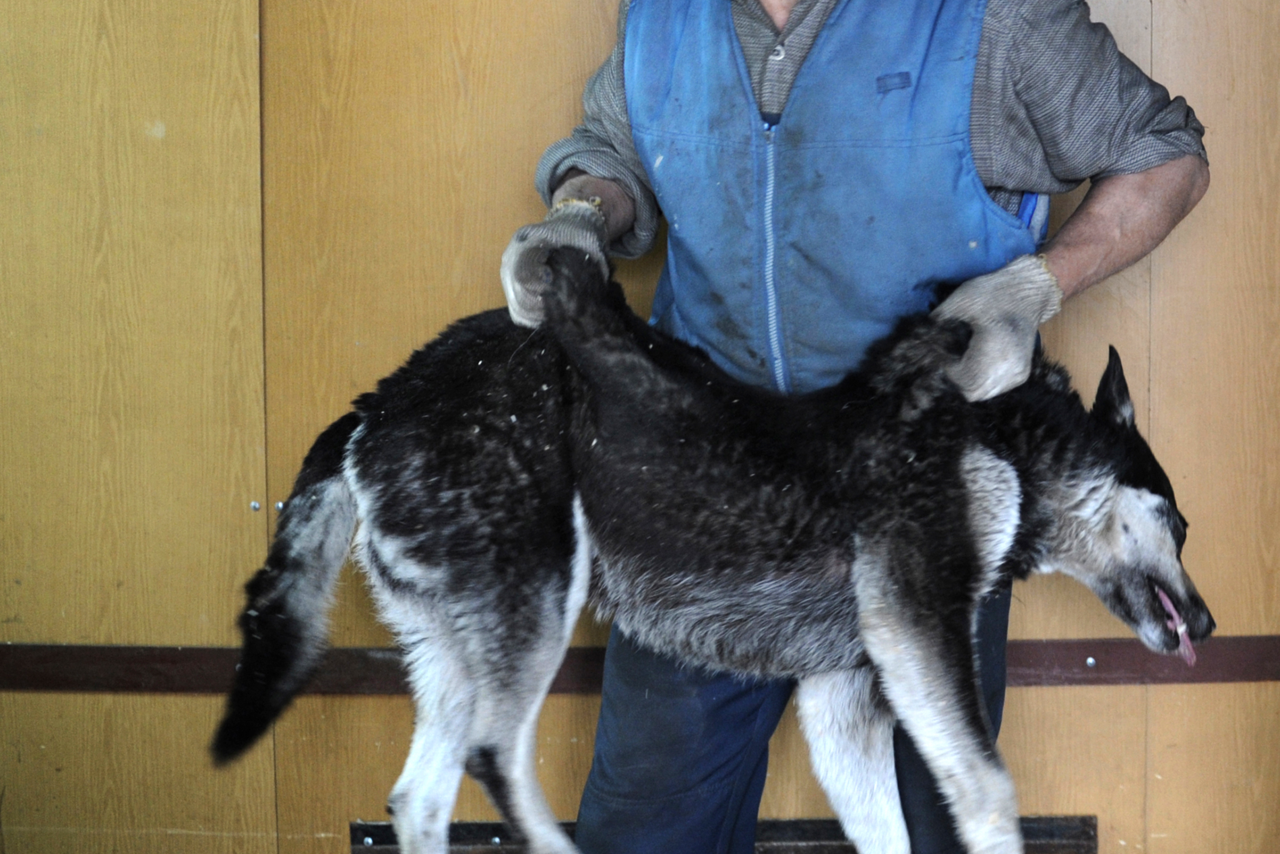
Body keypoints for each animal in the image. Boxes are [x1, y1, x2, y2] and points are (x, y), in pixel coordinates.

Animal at [209, 250, 1208, 854]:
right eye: (1181, 521)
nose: (1206, 622)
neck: (1002, 439)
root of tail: (381, 401)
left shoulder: (847, 698)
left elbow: (894, 830)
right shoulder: (918, 630)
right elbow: (991, 792)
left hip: (457, 648)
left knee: (420, 798)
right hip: (534, 603)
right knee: (497, 759)